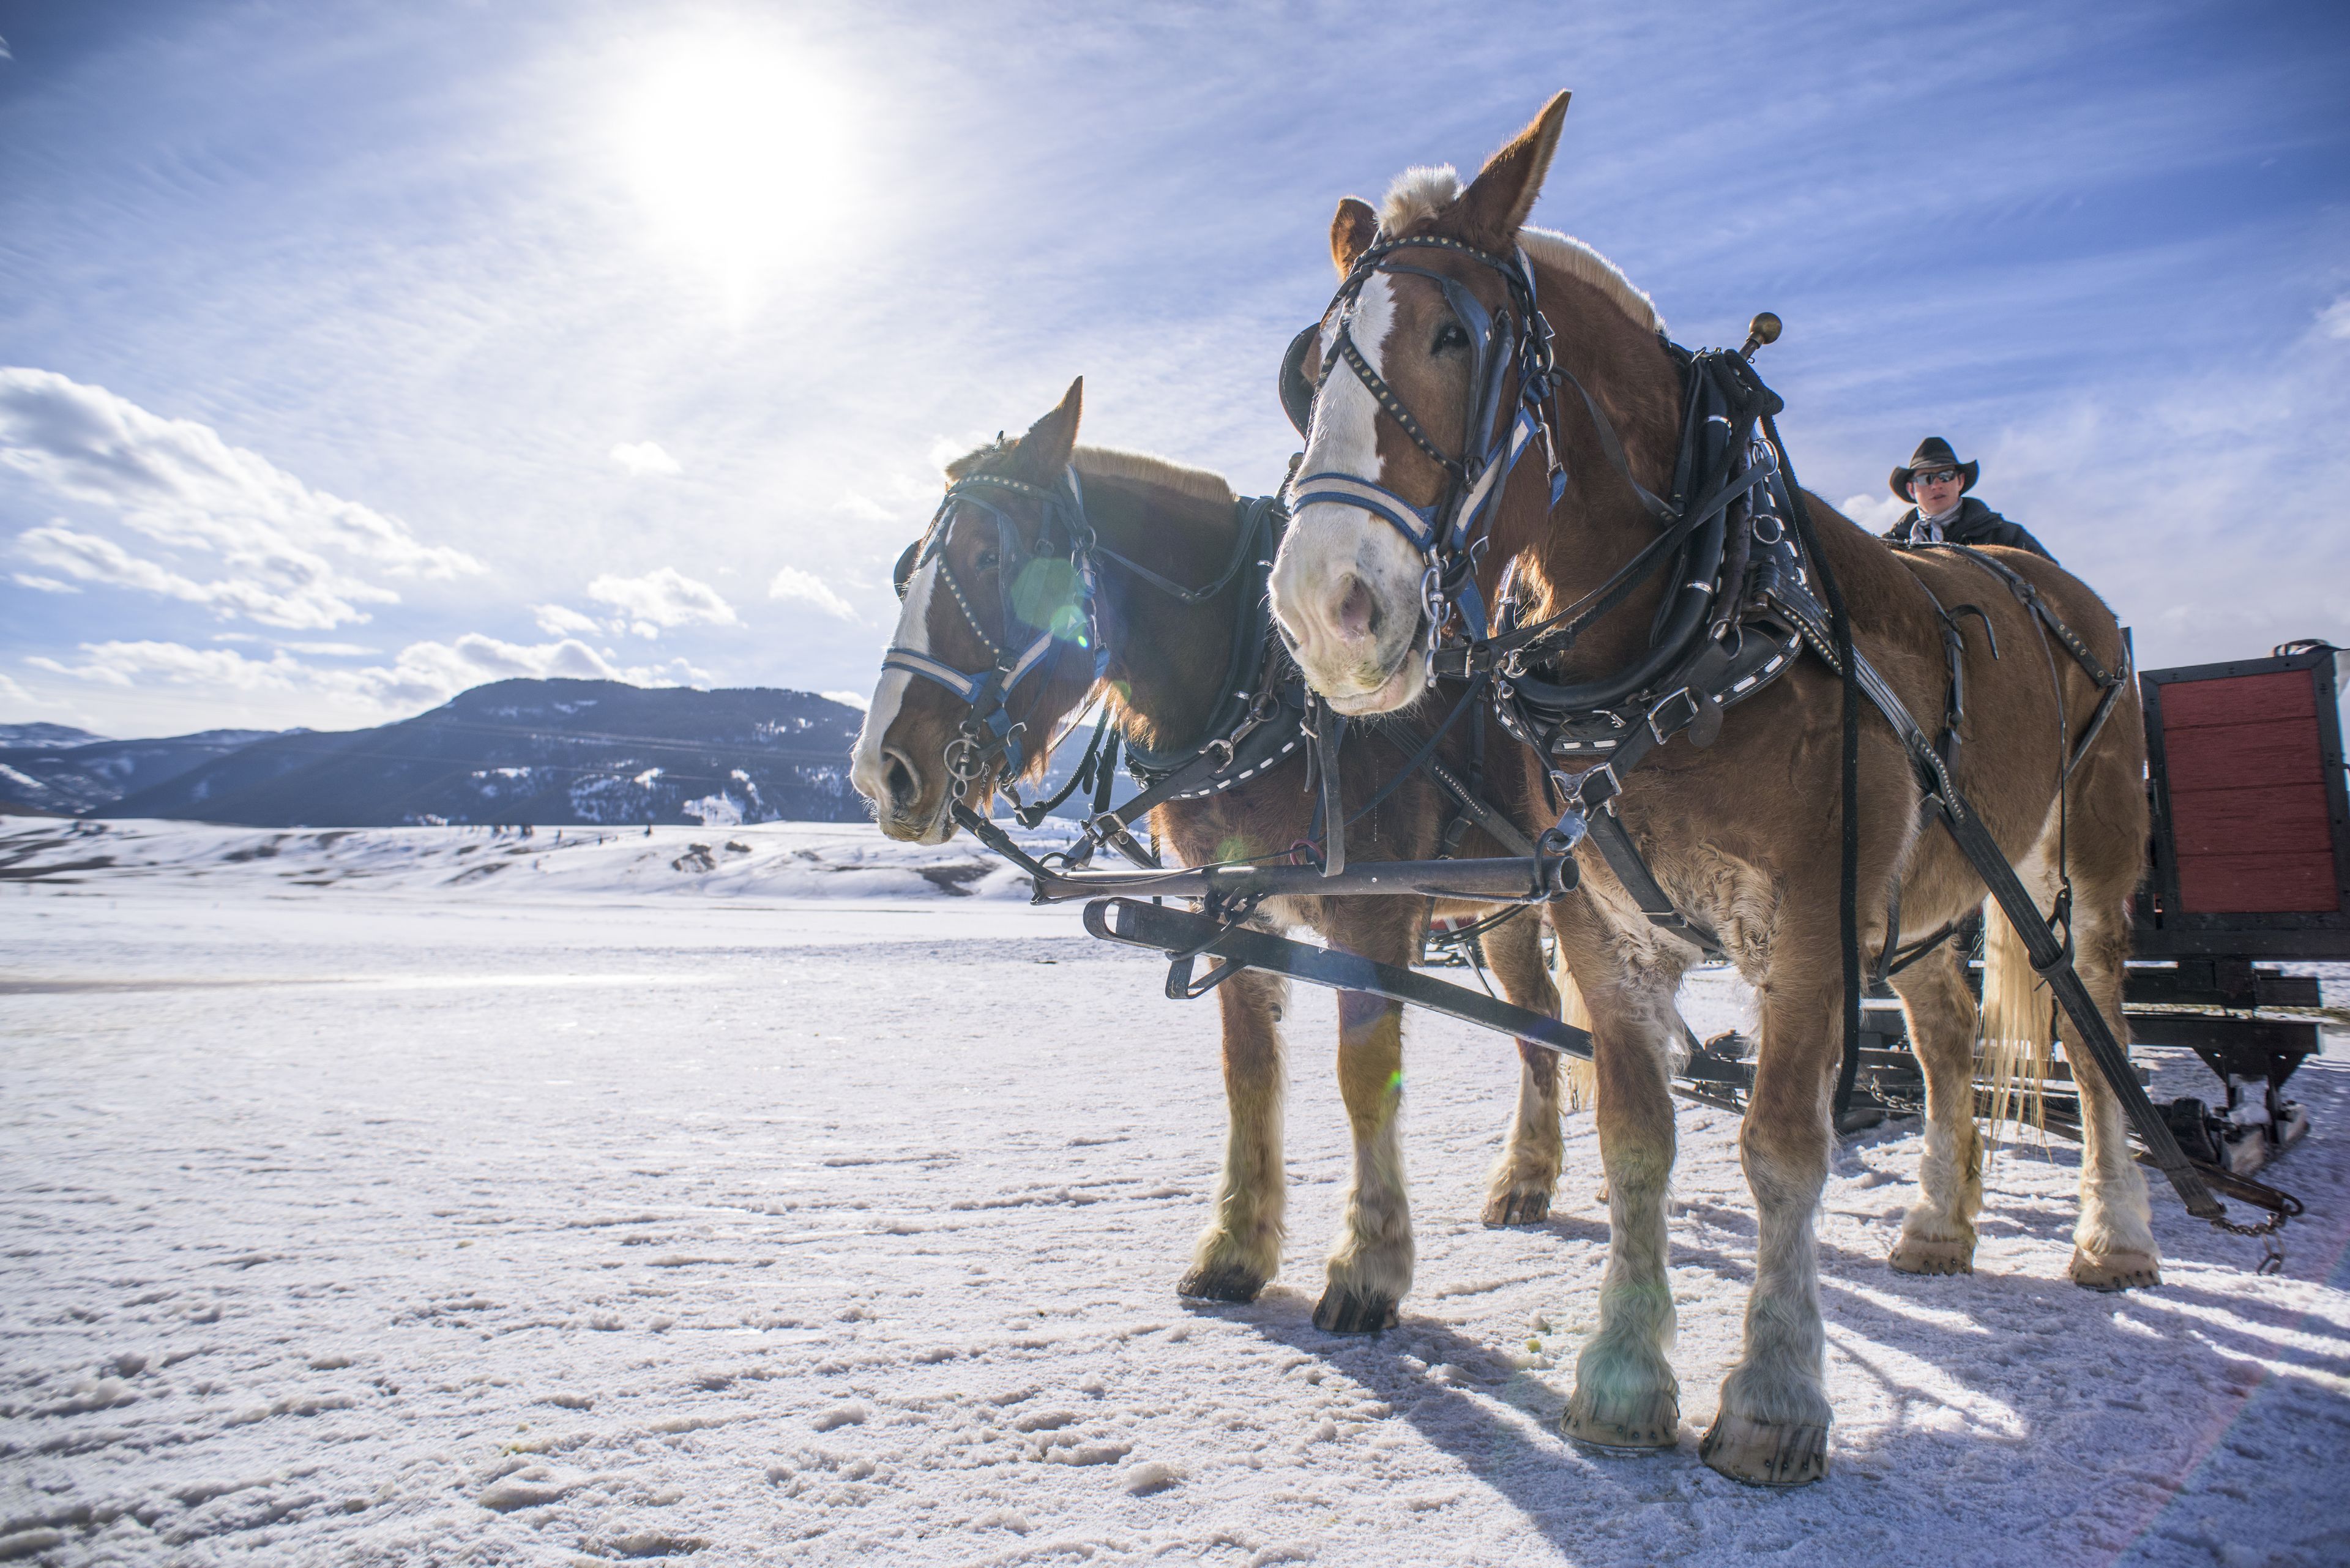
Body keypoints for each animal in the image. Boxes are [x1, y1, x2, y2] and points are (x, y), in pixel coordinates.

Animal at [848, 379, 1596, 1329]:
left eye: (988, 557)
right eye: (908, 566)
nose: (881, 770)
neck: (1261, 696)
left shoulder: (1374, 912)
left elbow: (1364, 1078)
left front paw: (1368, 1267)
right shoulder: (1234, 907)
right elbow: (1249, 1073)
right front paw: (1236, 1249)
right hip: (1502, 904)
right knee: (1539, 1016)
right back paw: (1529, 1176)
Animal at [1264, 94, 2149, 1485]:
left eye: (1458, 336)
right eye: (1309, 368)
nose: (1324, 606)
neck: (1697, 624)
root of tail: (2048, 582)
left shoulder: (1809, 926)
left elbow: (1781, 1145)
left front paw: (1774, 1402)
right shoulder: (1603, 922)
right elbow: (1640, 1136)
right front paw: (1625, 1382)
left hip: (2085, 858)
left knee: (2097, 1021)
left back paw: (2114, 1237)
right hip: (1923, 891)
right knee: (1947, 1035)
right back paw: (1940, 1227)